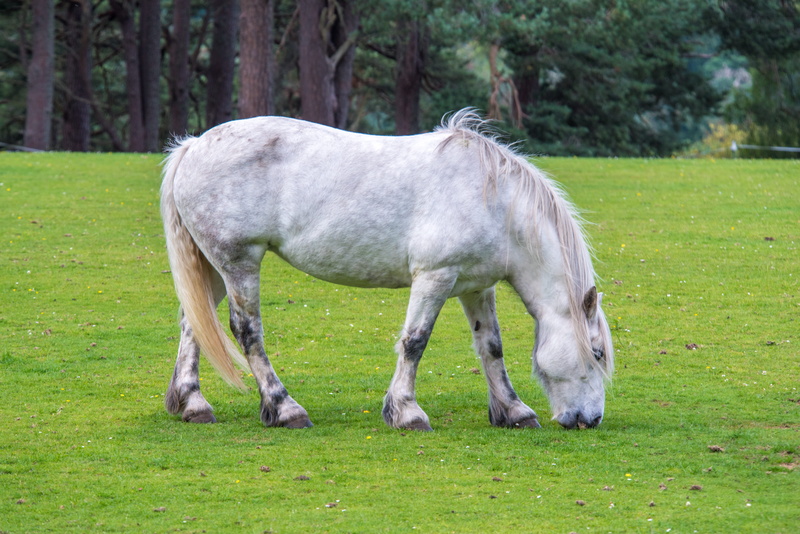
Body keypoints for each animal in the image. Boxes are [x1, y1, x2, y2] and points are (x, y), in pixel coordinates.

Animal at [160, 109, 614, 431]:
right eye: (596, 353)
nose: (590, 420)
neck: (495, 201)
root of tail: (193, 146)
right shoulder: (435, 277)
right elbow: (415, 342)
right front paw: (407, 412)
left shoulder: (475, 287)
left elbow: (491, 347)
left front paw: (514, 411)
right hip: (239, 262)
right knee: (246, 331)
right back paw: (284, 408)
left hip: (212, 267)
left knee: (193, 322)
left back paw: (192, 404)